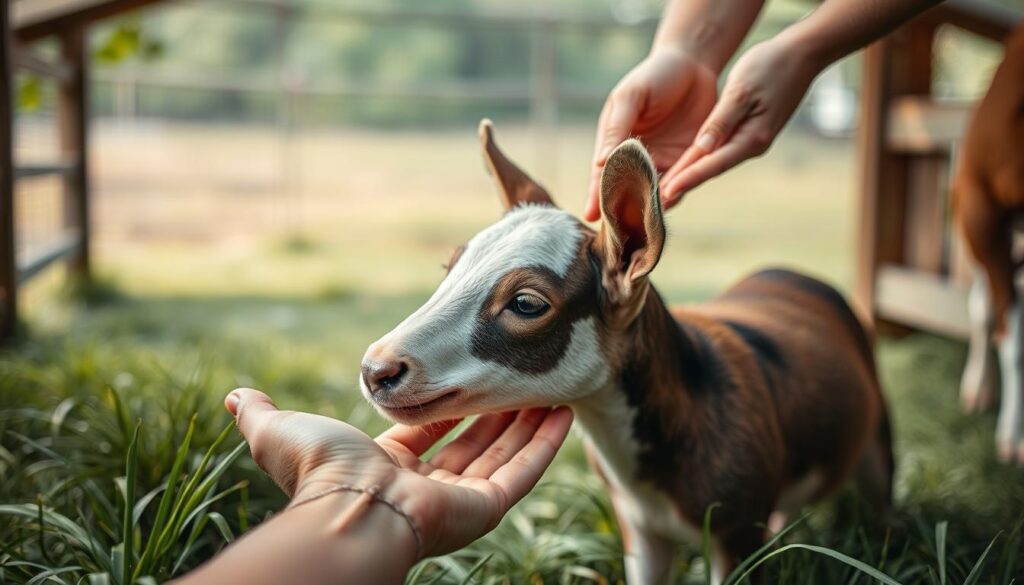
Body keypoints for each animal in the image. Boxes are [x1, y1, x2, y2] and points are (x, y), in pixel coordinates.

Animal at [364, 121, 892, 581]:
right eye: (448, 268)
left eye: (527, 303)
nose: (376, 370)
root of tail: (791, 272)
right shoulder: (638, 529)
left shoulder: (738, 529)